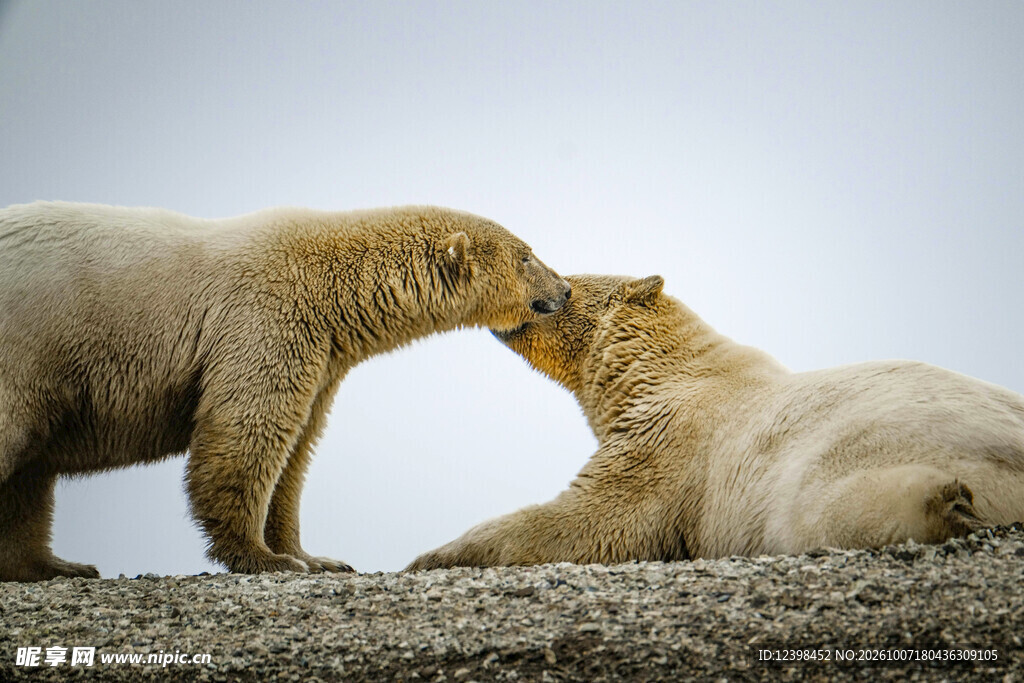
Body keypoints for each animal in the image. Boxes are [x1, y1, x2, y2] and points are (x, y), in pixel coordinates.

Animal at [0, 200, 571, 581]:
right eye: (527, 255)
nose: (564, 289)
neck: (333, 285)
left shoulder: (322, 355)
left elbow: (296, 450)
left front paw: (317, 556)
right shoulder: (266, 318)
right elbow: (247, 431)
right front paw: (265, 558)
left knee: (29, 479)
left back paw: (56, 565)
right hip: (28, 346)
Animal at [407, 274, 1024, 570]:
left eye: (565, 279)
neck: (664, 368)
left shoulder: (669, 446)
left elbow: (589, 520)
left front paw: (431, 556)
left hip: (834, 468)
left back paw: (948, 506)